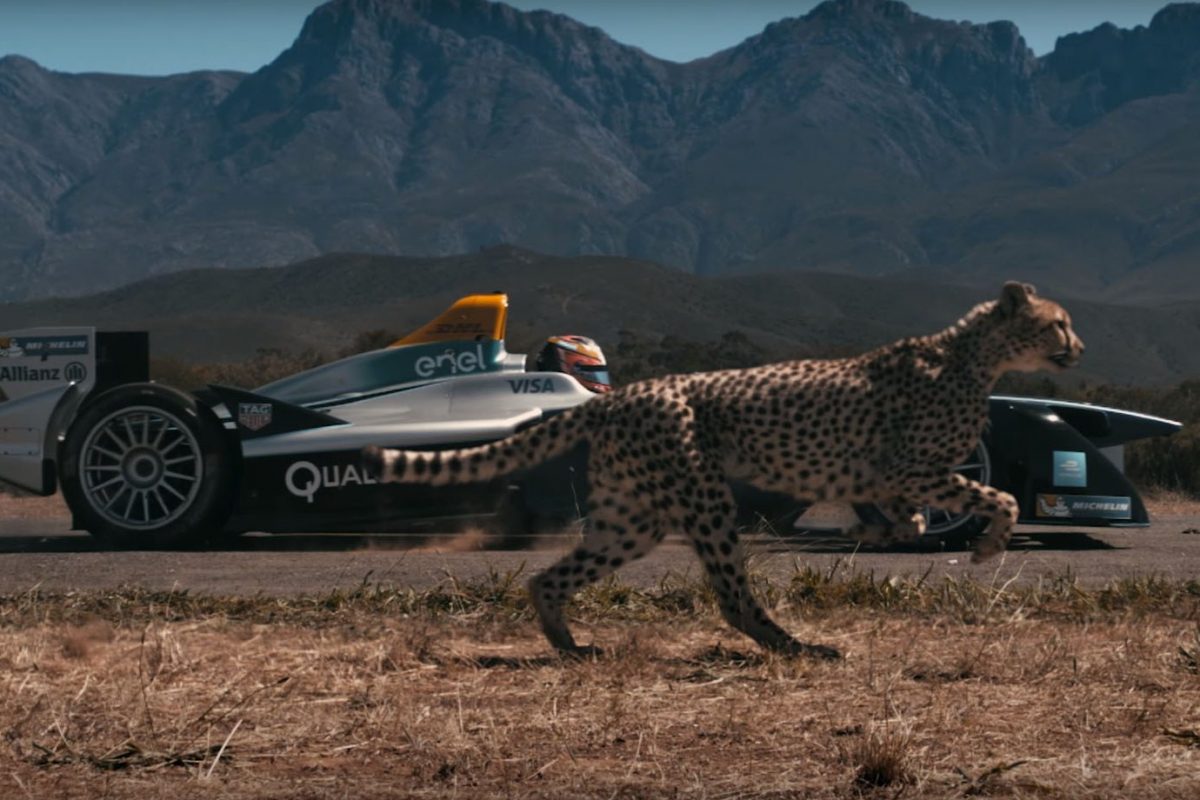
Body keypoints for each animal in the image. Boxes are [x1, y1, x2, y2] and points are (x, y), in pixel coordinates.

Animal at [363, 282, 1084, 660]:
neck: (974, 356)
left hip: (632, 519)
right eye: (1058, 323)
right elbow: (998, 498)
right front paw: (986, 546)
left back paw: (569, 644)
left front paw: (888, 530)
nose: (1077, 347)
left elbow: (912, 510)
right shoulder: (912, 465)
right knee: (733, 595)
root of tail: (626, 394)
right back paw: (796, 646)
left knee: (550, 575)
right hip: (702, 502)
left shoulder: (888, 474)